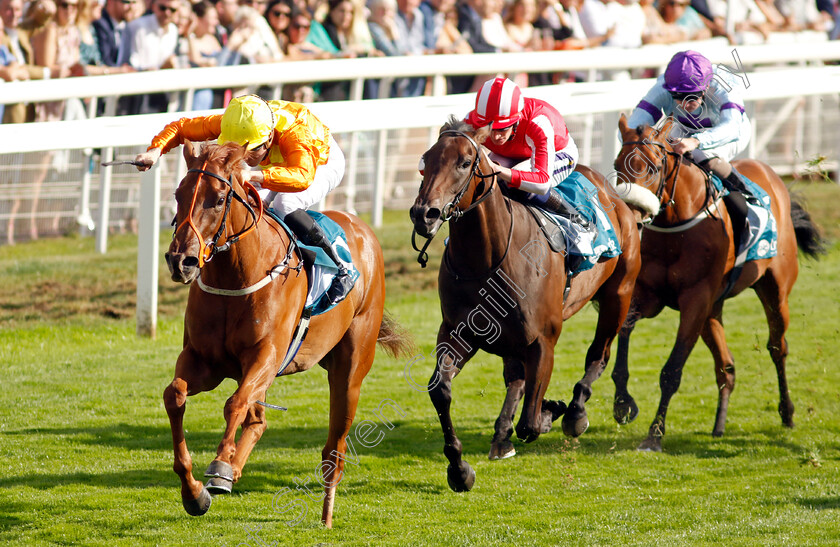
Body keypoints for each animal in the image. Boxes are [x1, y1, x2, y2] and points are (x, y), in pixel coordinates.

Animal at [162, 140, 412, 528]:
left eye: (217, 200)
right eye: (178, 194)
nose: (181, 261)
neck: (236, 275)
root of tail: (363, 229)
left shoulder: (266, 355)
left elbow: (234, 403)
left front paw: (219, 466)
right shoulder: (204, 361)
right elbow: (175, 395)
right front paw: (194, 492)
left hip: (350, 369)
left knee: (334, 447)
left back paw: (325, 514)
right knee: (257, 417)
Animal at [410, 116, 640, 492]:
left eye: (464, 161)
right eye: (425, 160)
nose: (423, 214)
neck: (486, 259)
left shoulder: (543, 341)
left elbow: (531, 423)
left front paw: (551, 410)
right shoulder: (458, 333)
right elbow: (440, 390)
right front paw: (459, 469)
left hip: (618, 295)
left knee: (599, 354)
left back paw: (574, 412)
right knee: (516, 379)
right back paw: (502, 436)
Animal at [608, 114, 824, 454]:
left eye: (653, 167)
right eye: (618, 165)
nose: (632, 213)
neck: (675, 227)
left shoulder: (695, 301)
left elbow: (672, 371)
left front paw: (654, 436)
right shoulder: (650, 295)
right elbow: (625, 332)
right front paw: (622, 404)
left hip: (775, 291)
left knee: (778, 347)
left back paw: (787, 413)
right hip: (714, 310)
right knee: (726, 367)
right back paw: (719, 426)